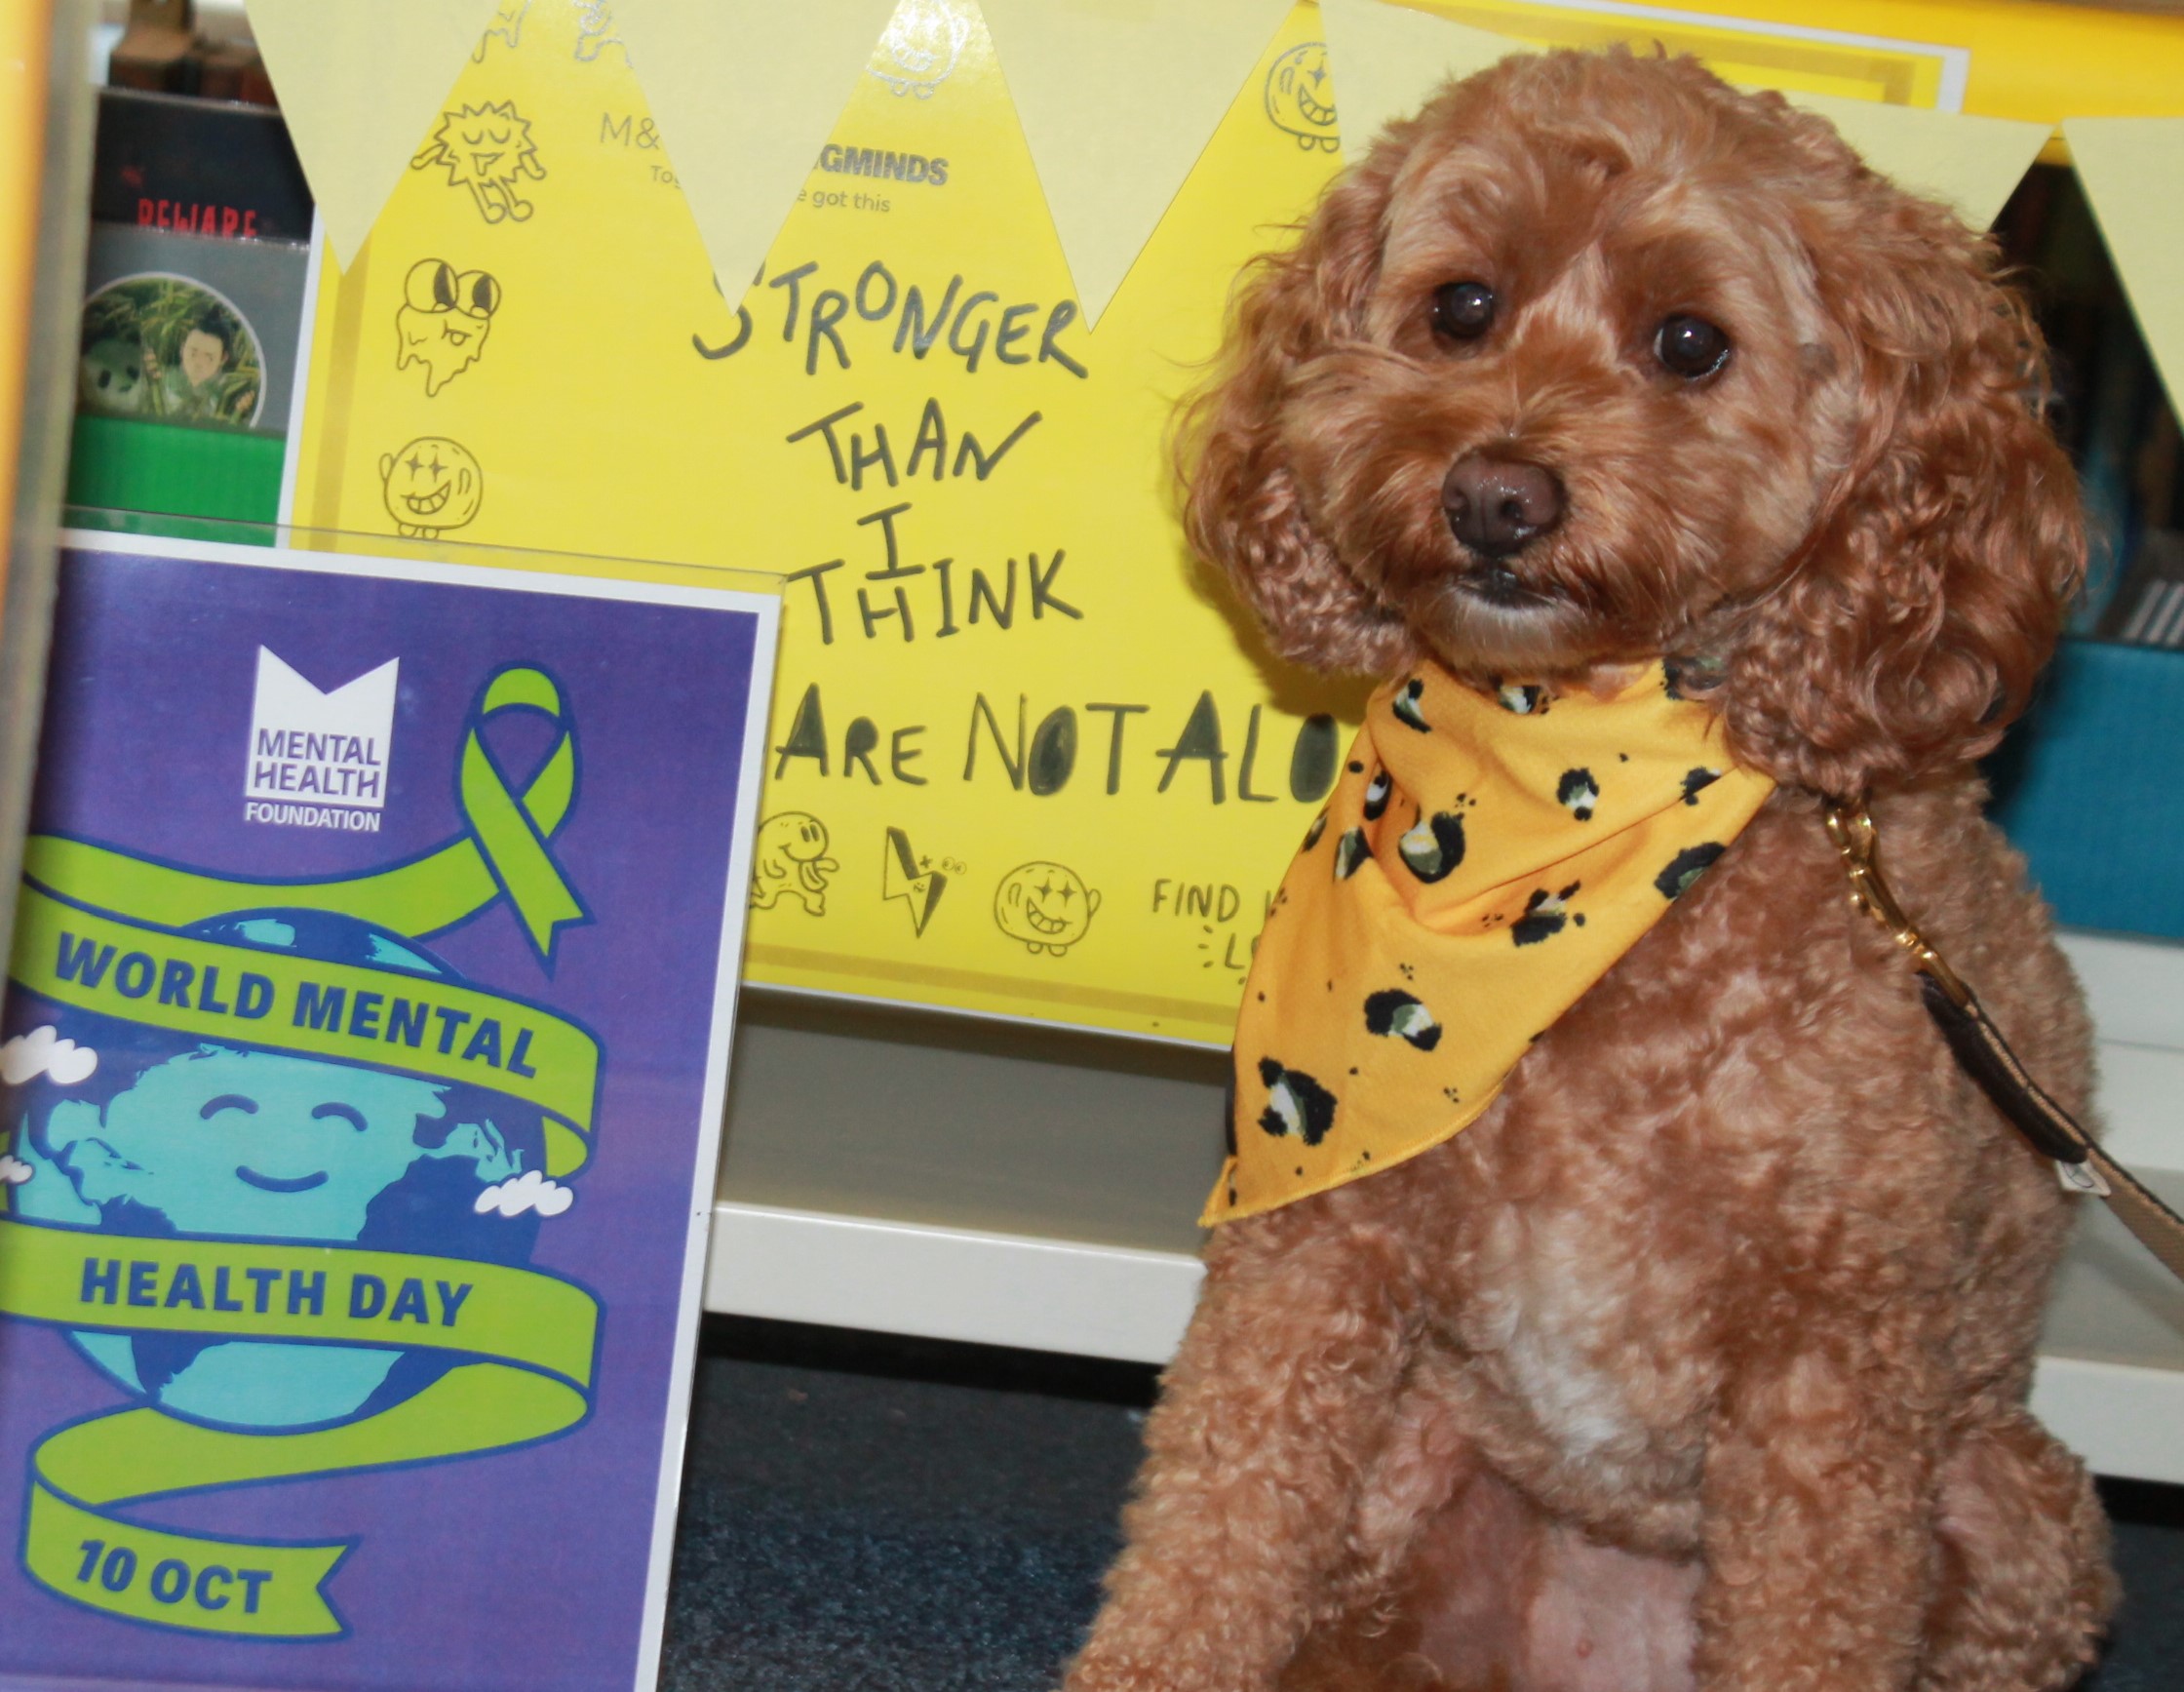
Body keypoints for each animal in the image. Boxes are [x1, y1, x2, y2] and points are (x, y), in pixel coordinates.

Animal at [1061, 46, 2114, 1685]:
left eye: (1689, 341)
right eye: (1462, 307)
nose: (1497, 493)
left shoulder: (1836, 1360)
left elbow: (1814, 1626)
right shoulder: (1317, 1250)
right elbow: (1207, 1549)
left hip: (2017, 1507)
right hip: (1412, 1467)